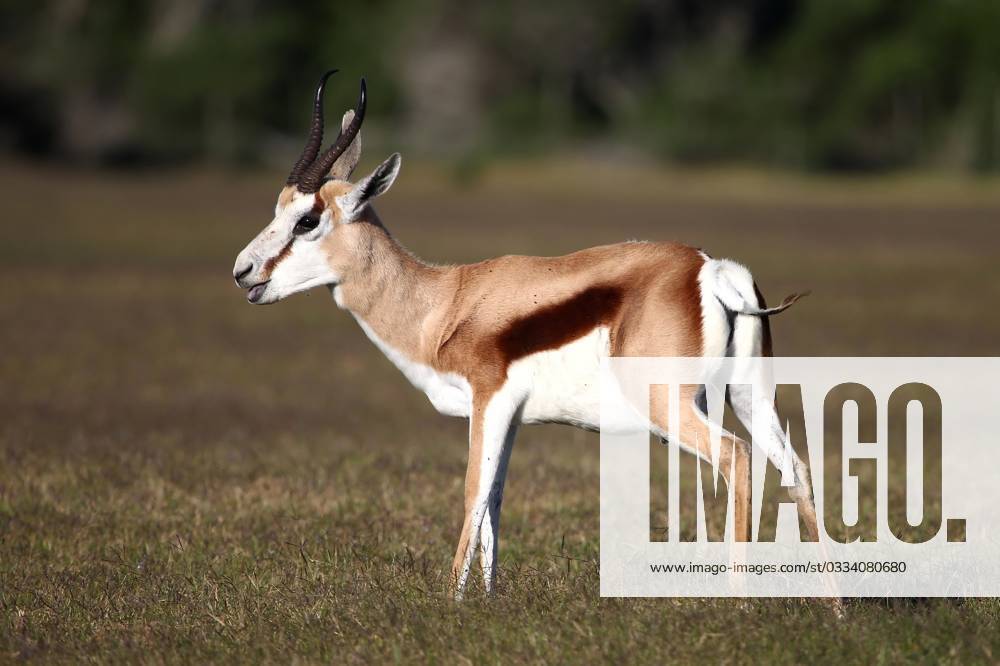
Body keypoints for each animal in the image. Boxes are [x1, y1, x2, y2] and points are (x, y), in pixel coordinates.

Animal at [233, 71, 820, 598]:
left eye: (307, 220)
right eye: (278, 208)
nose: (243, 271)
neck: (443, 305)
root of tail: (710, 269)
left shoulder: (488, 399)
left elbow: (472, 494)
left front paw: (450, 606)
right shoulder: (510, 415)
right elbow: (494, 502)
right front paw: (489, 601)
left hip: (668, 405)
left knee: (737, 457)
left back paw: (738, 604)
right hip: (749, 396)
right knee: (794, 466)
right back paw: (831, 610)